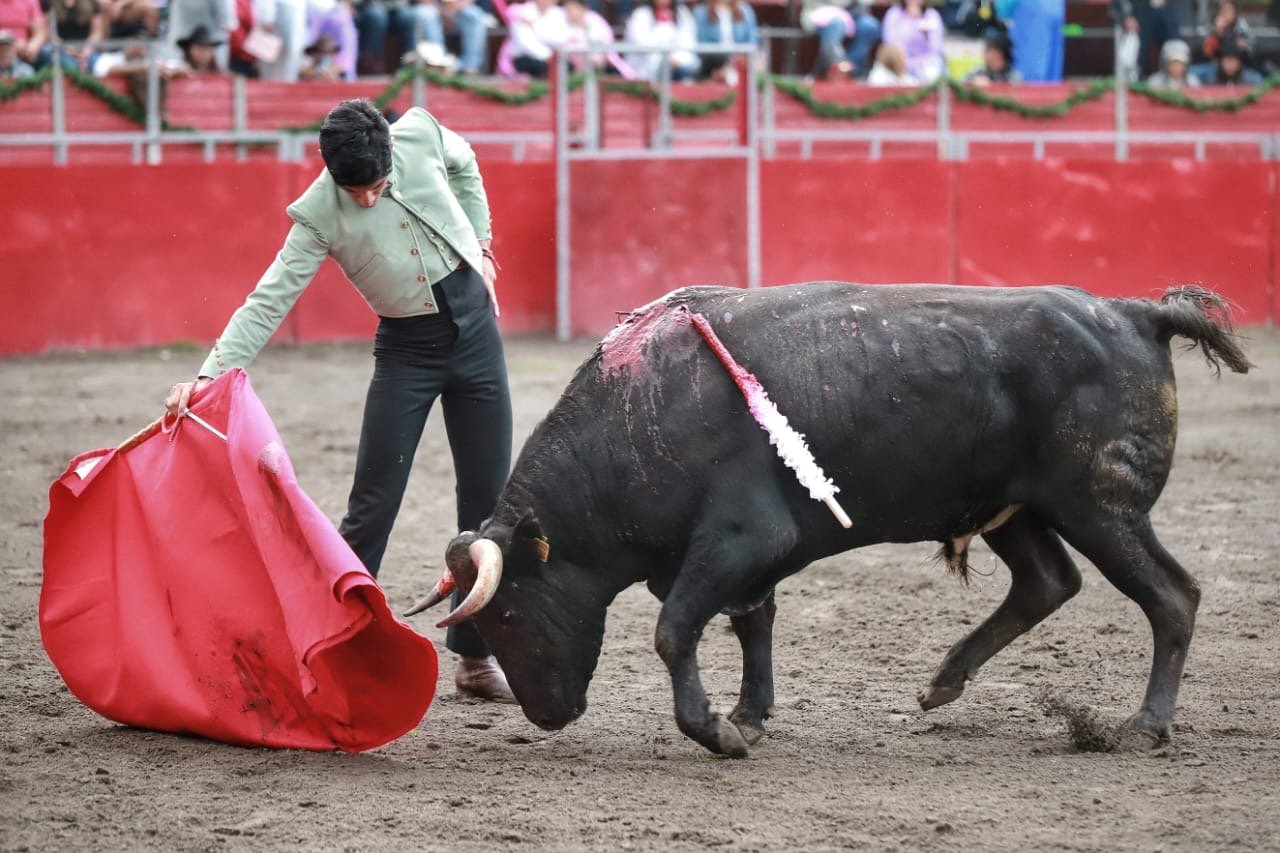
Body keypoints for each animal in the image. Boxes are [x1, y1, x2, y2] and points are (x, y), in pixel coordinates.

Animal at [405, 283, 1251, 758]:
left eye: (506, 609)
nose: (547, 715)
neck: (641, 411)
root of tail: (1134, 313)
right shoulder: (738, 556)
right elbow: (750, 622)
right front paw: (750, 714)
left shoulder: (739, 540)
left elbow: (676, 630)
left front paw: (718, 732)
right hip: (1016, 509)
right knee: (1048, 581)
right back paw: (943, 682)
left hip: (1101, 507)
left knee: (1170, 596)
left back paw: (1144, 725)